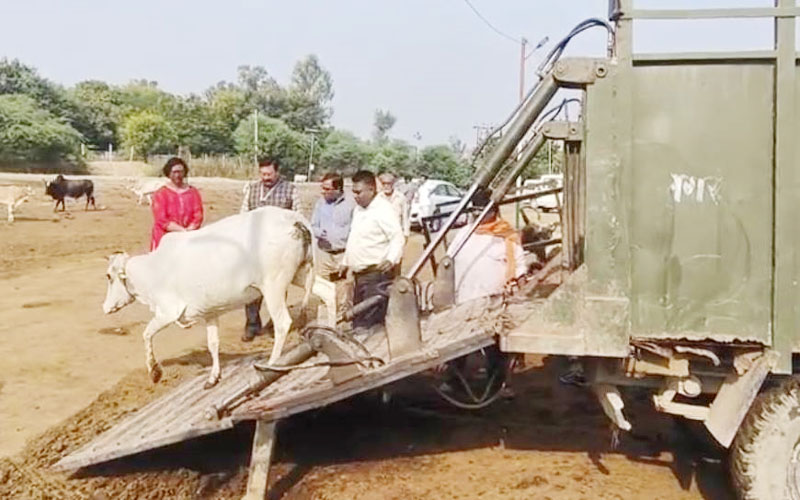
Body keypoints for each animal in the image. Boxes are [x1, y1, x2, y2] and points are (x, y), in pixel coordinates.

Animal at [103, 205, 334, 388]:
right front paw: (213, 377)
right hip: (300, 274)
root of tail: (294, 220)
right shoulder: (209, 312)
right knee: (329, 290)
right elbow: (213, 343)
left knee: (283, 323)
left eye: (108, 277)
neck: (151, 270)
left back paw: (272, 364)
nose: (105, 307)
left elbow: (147, 334)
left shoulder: (168, 312)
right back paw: (331, 334)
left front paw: (155, 372)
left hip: (273, 286)